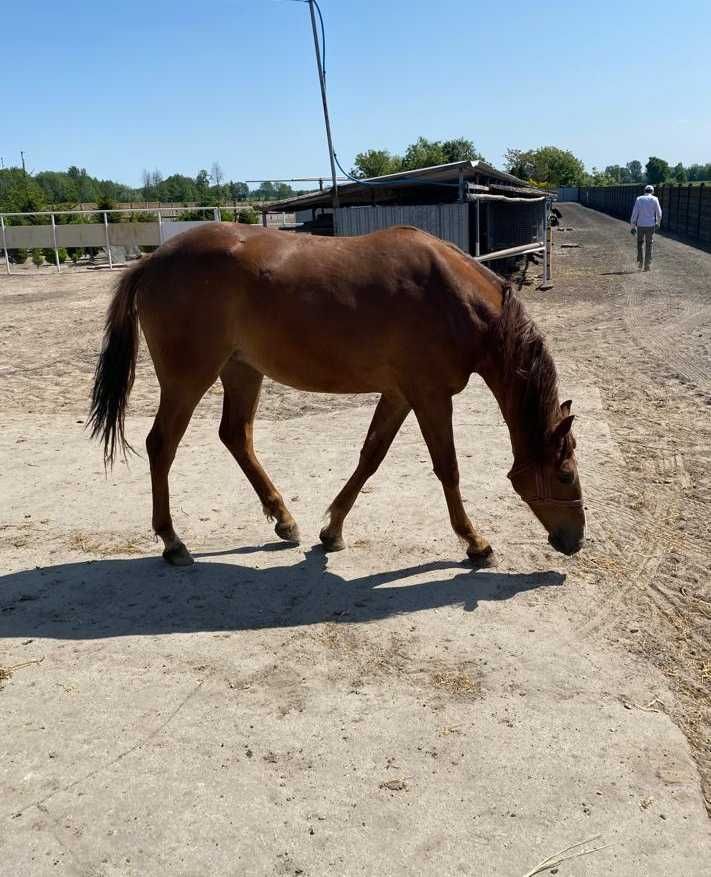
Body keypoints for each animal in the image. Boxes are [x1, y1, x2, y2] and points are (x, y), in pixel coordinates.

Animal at [89, 222, 588, 564]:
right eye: (564, 475)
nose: (575, 540)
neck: (454, 297)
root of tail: (152, 261)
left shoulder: (399, 395)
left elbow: (370, 457)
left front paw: (331, 531)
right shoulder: (429, 396)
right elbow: (447, 469)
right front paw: (475, 542)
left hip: (242, 371)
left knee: (235, 436)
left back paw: (284, 521)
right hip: (189, 378)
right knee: (161, 445)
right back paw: (173, 542)